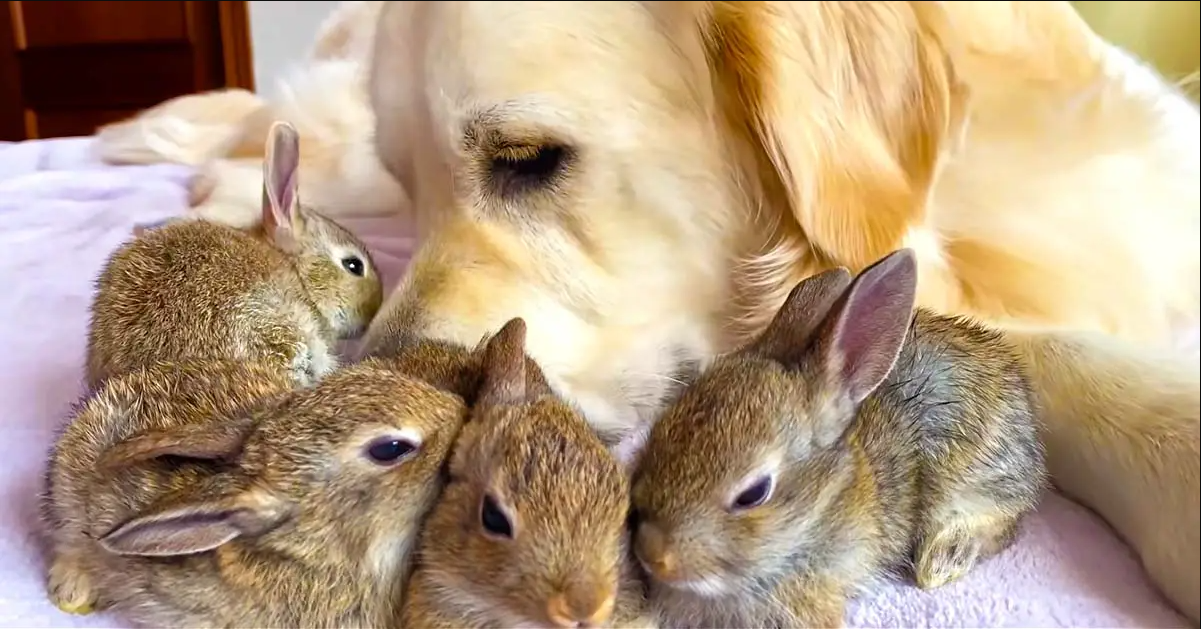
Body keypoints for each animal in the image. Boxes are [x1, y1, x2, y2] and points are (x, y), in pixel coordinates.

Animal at [634, 248, 1047, 624]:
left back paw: (942, 559)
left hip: (975, 477)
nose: (652, 554)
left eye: (753, 494)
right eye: (656, 437)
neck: (813, 519)